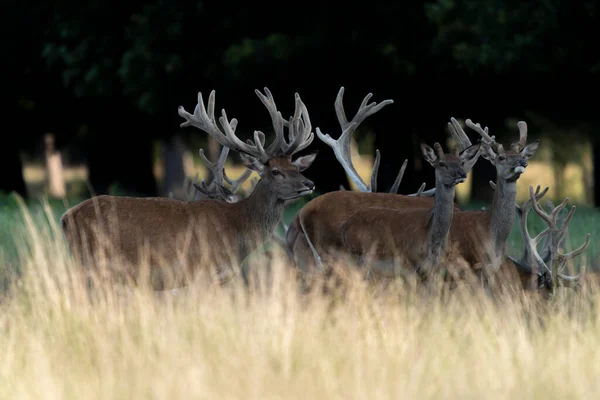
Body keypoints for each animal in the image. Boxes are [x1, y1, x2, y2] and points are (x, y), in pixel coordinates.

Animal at [62, 87, 318, 290]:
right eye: (275, 171)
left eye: (296, 167)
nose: (309, 184)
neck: (236, 231)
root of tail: (65, 218)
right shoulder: (200, 272)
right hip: (93, 264)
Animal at [338, 142, 482, 280]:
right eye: (441, 163)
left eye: (461, 162)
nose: (462, 174)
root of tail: (344, 225)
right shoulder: (410, 265)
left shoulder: (435, 269)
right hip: (356, 257)